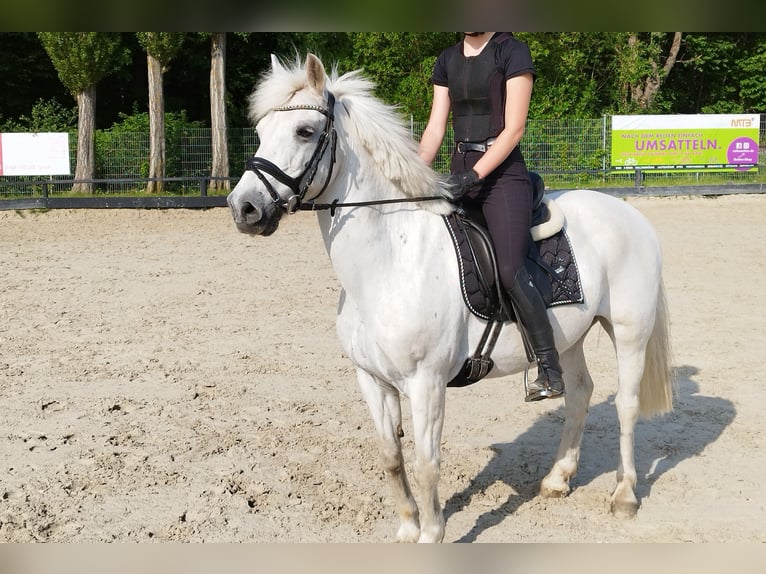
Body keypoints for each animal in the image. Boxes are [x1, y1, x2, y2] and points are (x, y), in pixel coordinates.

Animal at [225, 55, 676, 544]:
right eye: (261, 129)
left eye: (305, 131)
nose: (243, 208)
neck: (389, 260)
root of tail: (630, 214)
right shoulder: (372, 380)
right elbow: (391, 457)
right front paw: (407, 528)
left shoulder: (426, 383)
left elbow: (427, 465)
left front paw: (431, 535)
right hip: (568, 337)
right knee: (578, 393)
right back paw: (558, 479)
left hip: (629, 332)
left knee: (626, 405)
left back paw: (625, 496)